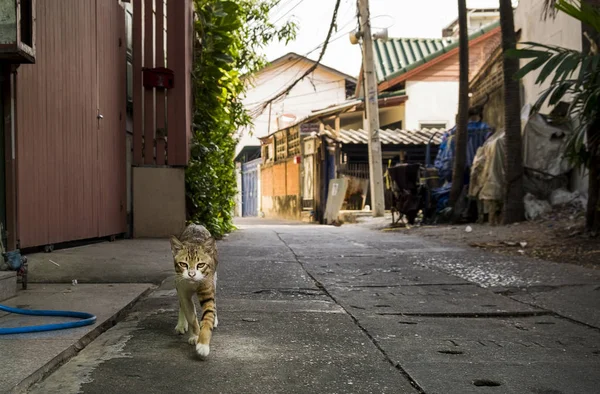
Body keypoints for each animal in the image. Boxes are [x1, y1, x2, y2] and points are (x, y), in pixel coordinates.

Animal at [170, 225, 219, 358]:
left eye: (200, 265)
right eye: (183, 264)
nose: (191, 274)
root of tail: (196, 225)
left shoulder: (207, 289)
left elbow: (208, 315)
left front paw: (203, 344)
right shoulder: (183, 291)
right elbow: (191, 316)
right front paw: (195, 335)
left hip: (214, 278)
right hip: (177, 282)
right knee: (182, 304)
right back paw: (181, 324)